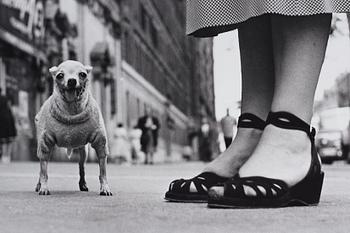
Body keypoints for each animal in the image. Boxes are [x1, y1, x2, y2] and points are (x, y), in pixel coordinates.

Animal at [34, 59, 111, 195]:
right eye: (60, 75)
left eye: (83, 74)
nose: (71, 81)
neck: (71, 111)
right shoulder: (44, 143)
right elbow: (44, 171)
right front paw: (43, 187)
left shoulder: (100, 143)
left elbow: (103, 171)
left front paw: (105, 187)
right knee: (42, 167)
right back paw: (39, 185)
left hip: (83, 151)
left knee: (81, 166)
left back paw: (83, 184)